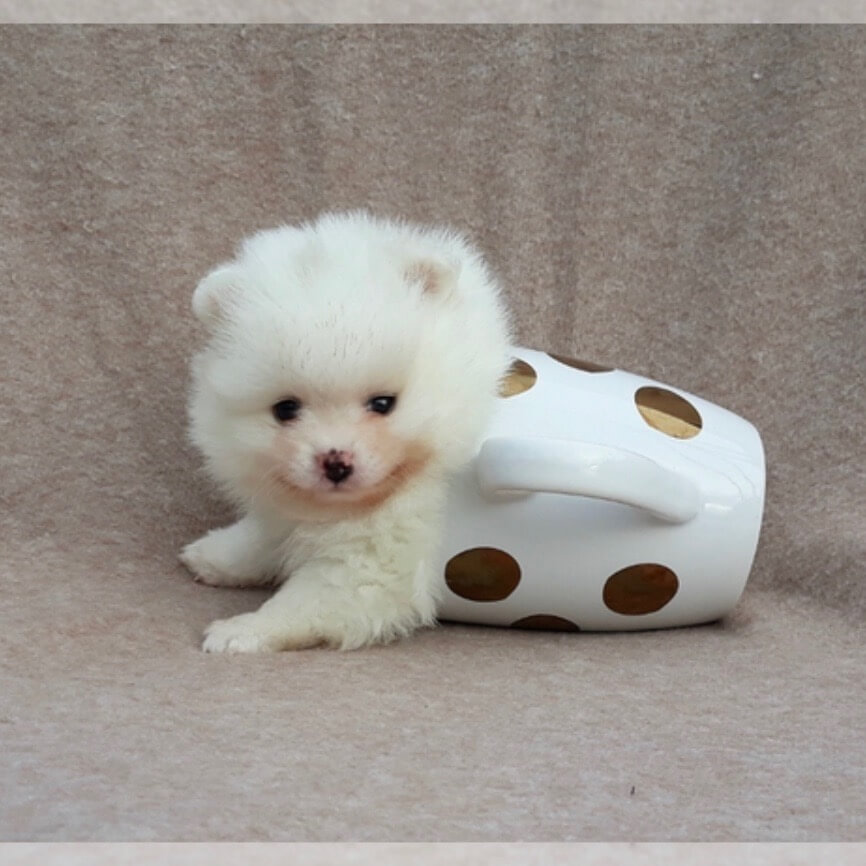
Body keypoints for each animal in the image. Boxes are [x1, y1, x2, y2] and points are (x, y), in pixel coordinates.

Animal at [180, 213, 510, 652]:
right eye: (286, 409)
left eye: (383, 403)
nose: (335, 463)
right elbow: (263, 537)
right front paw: (216, 554)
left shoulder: (374, 562)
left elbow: (307, 600)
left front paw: (244, 630)